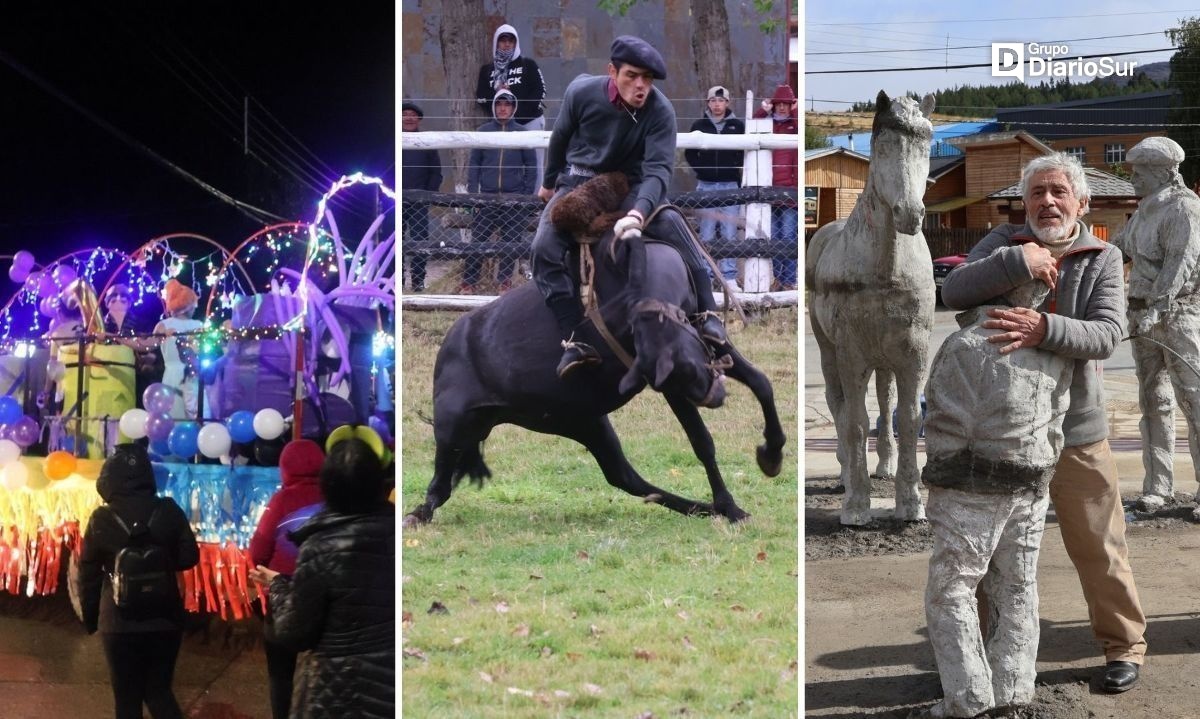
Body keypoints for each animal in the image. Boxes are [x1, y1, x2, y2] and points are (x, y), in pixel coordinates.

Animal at [403, 171, 787, 525]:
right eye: (682, 373)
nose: (715, 396)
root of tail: (449, 345)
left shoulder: (707, 340)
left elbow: (761, 383)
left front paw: (771, 455)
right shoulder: (670, 387)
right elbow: (702, 441)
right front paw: (731, 506)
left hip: (582, 421)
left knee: (625, 477)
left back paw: (700, 507)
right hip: (454, 424)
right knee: (441, 486)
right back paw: (419, 512)